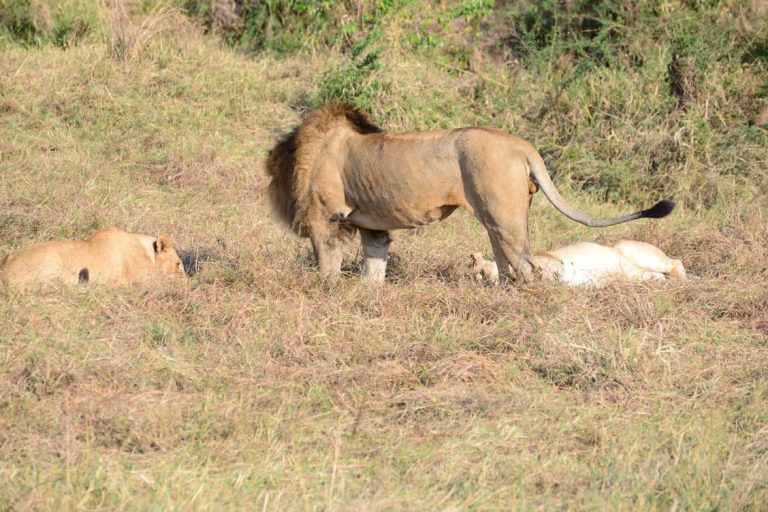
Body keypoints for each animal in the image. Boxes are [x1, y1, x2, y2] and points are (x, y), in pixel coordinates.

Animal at [266, 104, 675, 283]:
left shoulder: (324, 215)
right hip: (498, 220)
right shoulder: (373, 227)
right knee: (507, 267)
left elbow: (327, 265)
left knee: (528, 267)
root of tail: (521, 144)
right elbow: (374, 267)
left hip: (503, 217)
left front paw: (329, 292)